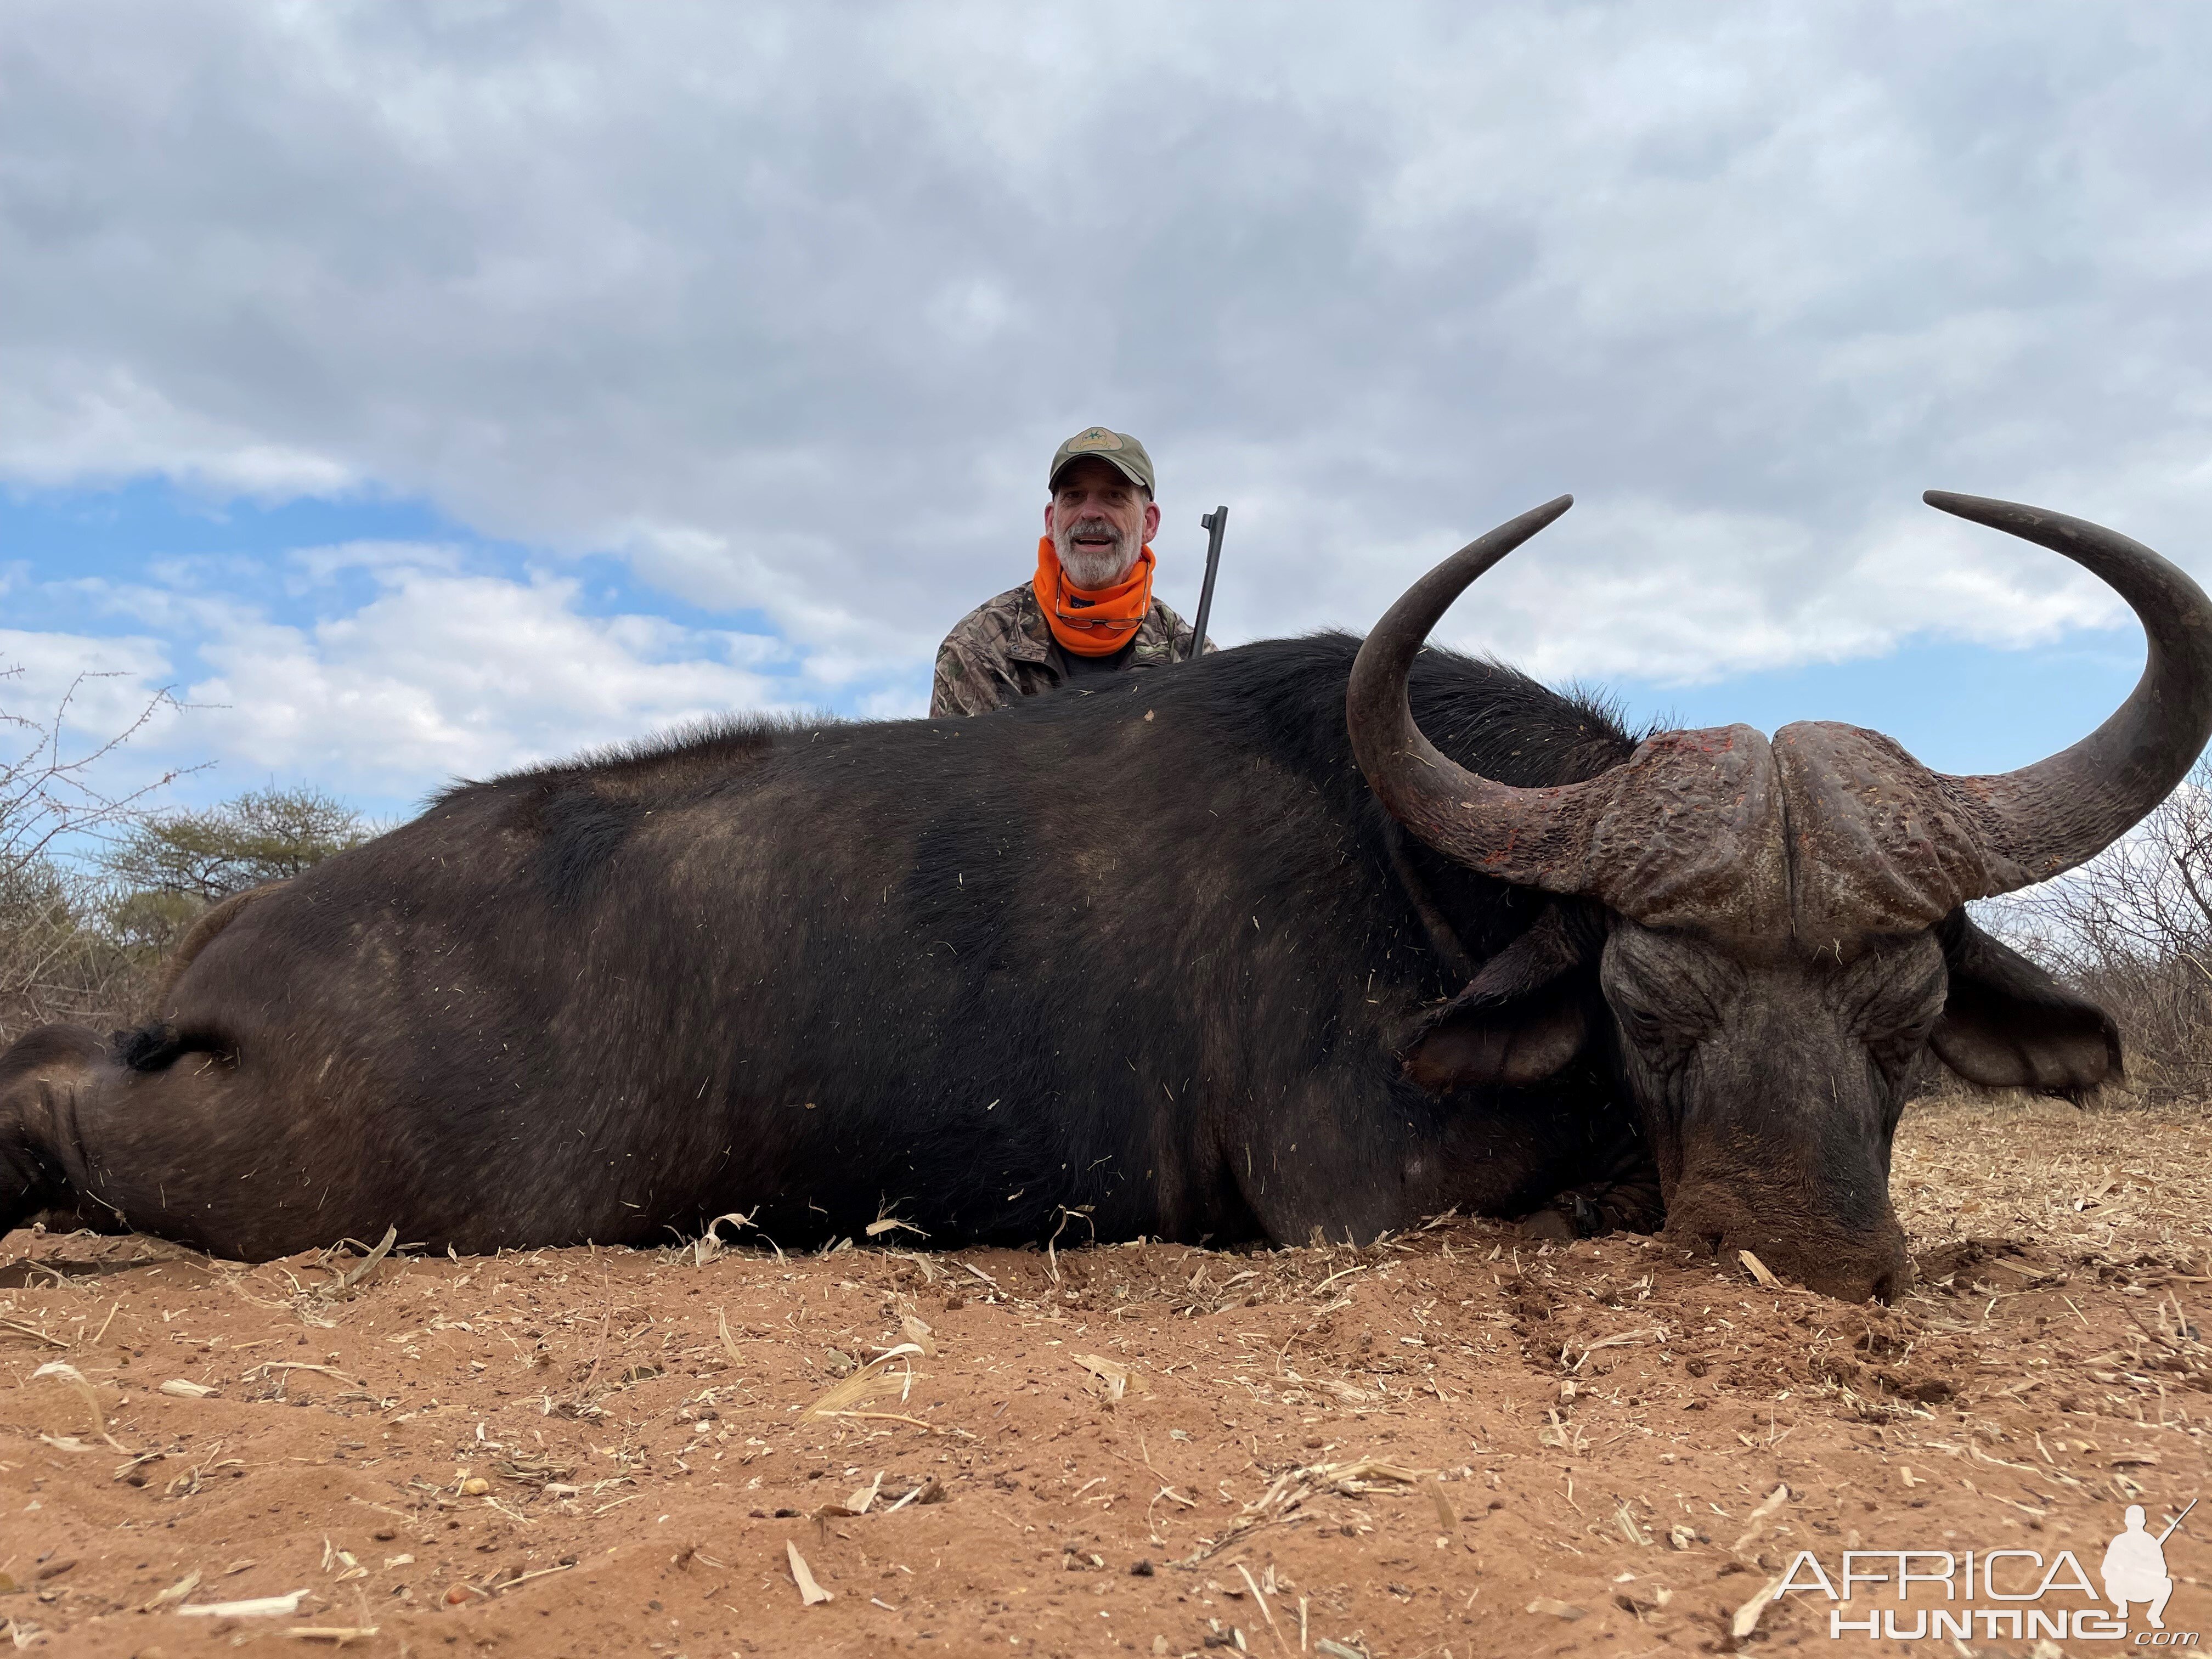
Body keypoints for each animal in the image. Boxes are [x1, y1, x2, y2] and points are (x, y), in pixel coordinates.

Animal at [0, 493, 2203, 1300]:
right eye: (1642, 993)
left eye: (1905, 1013)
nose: (1803, 1247)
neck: (1420, 859)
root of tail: (233, 947)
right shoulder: (1363, 1190)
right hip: (298, 1174)